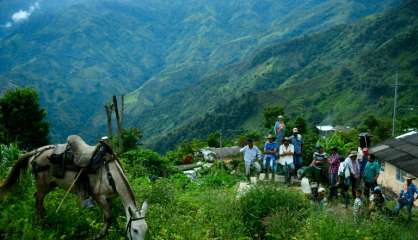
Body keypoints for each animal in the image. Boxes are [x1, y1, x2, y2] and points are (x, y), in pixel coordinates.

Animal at [0, 138, 148, 239]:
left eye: (146, 230)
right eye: (135, 230)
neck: (110, 173)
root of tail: (37, 151)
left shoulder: (108, 199)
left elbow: (109, 217)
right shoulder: (98, 196)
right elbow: (108, 217)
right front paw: (99, 235)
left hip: (50, 184)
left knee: (38, 198)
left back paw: (45, 218)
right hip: (42, 183)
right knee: (38, 200)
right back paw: (42, 223)